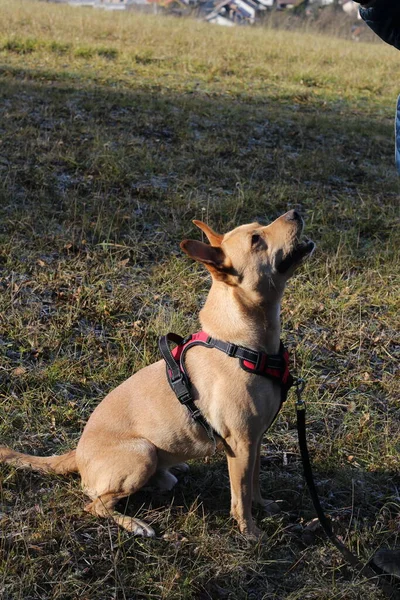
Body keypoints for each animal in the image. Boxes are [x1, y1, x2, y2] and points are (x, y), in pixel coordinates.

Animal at [0, 211, 314, 540]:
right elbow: (240, 495)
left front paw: (263, 506)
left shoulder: (256, 440)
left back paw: (171, 473)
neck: (241, 343)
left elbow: (254, 483)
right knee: (95, 504)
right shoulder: (241, 443)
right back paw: (135, 524)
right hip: (143, 453)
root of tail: (77, 454)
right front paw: (249, 531)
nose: (295, 212)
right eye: (256, 240)